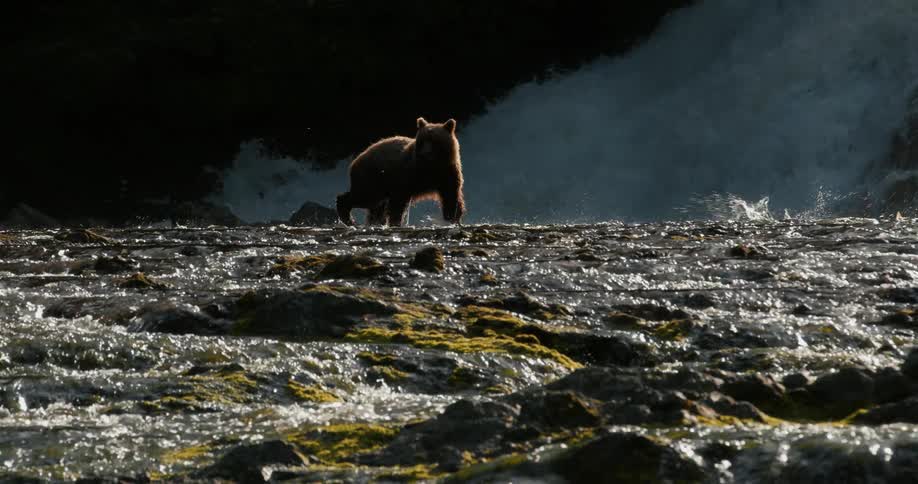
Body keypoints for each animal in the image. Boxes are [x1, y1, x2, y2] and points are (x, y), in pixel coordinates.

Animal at [336, 117, 465, 227]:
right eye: (423, 140)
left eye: (434, 141)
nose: (424, 153)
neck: (432, 166)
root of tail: (354, 161)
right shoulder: (406, 175)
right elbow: (398, 202)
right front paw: (395, 222)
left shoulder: (447, 172)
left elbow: (451, 195)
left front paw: (453, 218)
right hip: (372, 177)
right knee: (363, 196)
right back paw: (349, 219)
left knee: (376, 207)